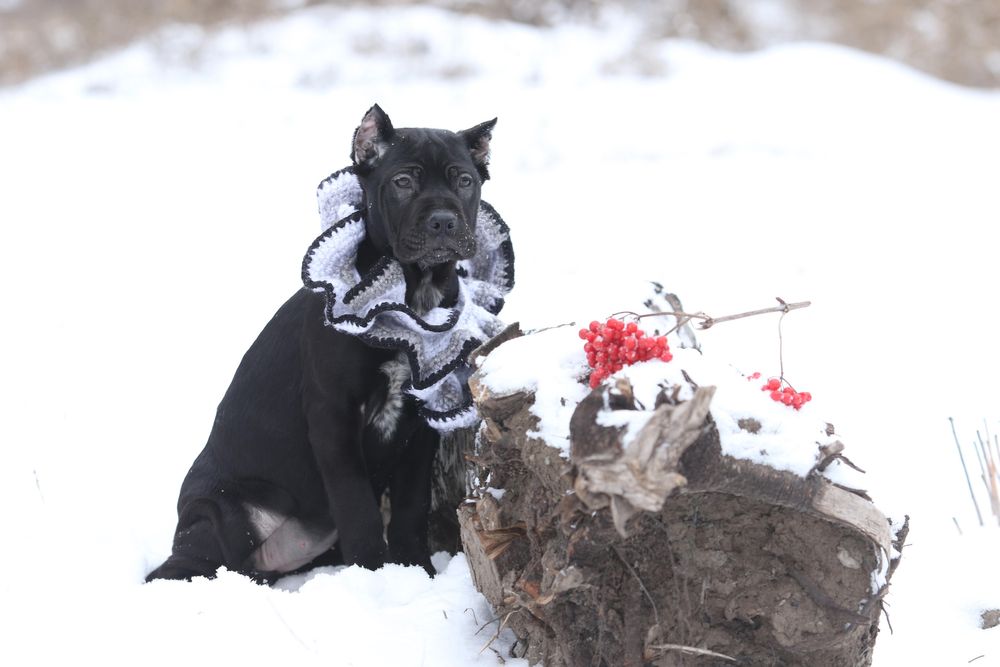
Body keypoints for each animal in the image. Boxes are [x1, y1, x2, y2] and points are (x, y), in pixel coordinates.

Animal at [146, 105, 504, 584]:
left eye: (464, 180)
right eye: (402, 182)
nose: (444, 221)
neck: (414, 291)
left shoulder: (422, 420)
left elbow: (411, 506)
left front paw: (415, 570)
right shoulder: (333, 416)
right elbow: (357, 507)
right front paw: (373, 577)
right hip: (222, 512)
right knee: (192, 565)